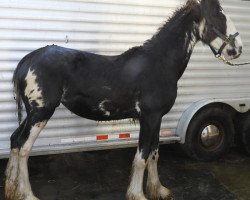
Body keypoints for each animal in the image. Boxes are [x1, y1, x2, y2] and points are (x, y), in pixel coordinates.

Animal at [4, 0, 242, 200]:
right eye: (218, 16)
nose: (238, 48)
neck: (159, 64)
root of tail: (28, 60)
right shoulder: (149, 118)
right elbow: (141, 157)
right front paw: (138, 195)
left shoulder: (157, 119)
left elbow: (154, 153)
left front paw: (159, 190)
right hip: (41, 113)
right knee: (24, 148)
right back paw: (28, 195)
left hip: (32, 114)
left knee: (15, 141)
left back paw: (11, 189)